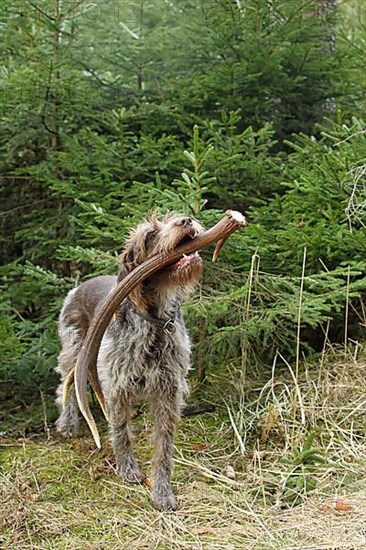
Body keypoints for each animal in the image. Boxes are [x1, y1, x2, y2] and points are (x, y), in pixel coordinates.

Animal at [55, 215, 203, 512]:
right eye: (150, 235)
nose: (186, 220)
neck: (155, 322)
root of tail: (79, 286)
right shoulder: (118, 388)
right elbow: (121, 432)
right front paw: (128, 470)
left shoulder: (169, 392)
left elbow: (164, 447)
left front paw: (162, 492)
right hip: (74, 351)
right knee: (66, 387)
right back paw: (68, 423)